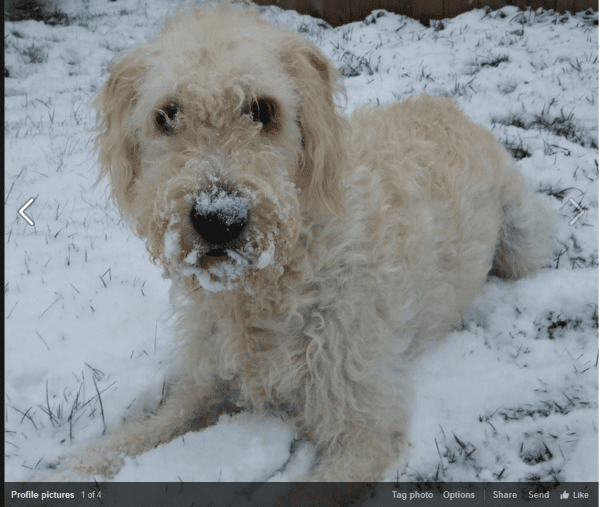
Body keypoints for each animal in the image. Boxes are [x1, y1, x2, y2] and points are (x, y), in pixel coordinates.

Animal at [58, 1, 556, 482]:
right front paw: (77, 463)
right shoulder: (204, 385)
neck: (269, 280)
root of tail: (449, 106)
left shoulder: (364, 427)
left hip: (523, 242)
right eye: (167, 114)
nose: (218, 220)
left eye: (263, 109)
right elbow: (143, 432)